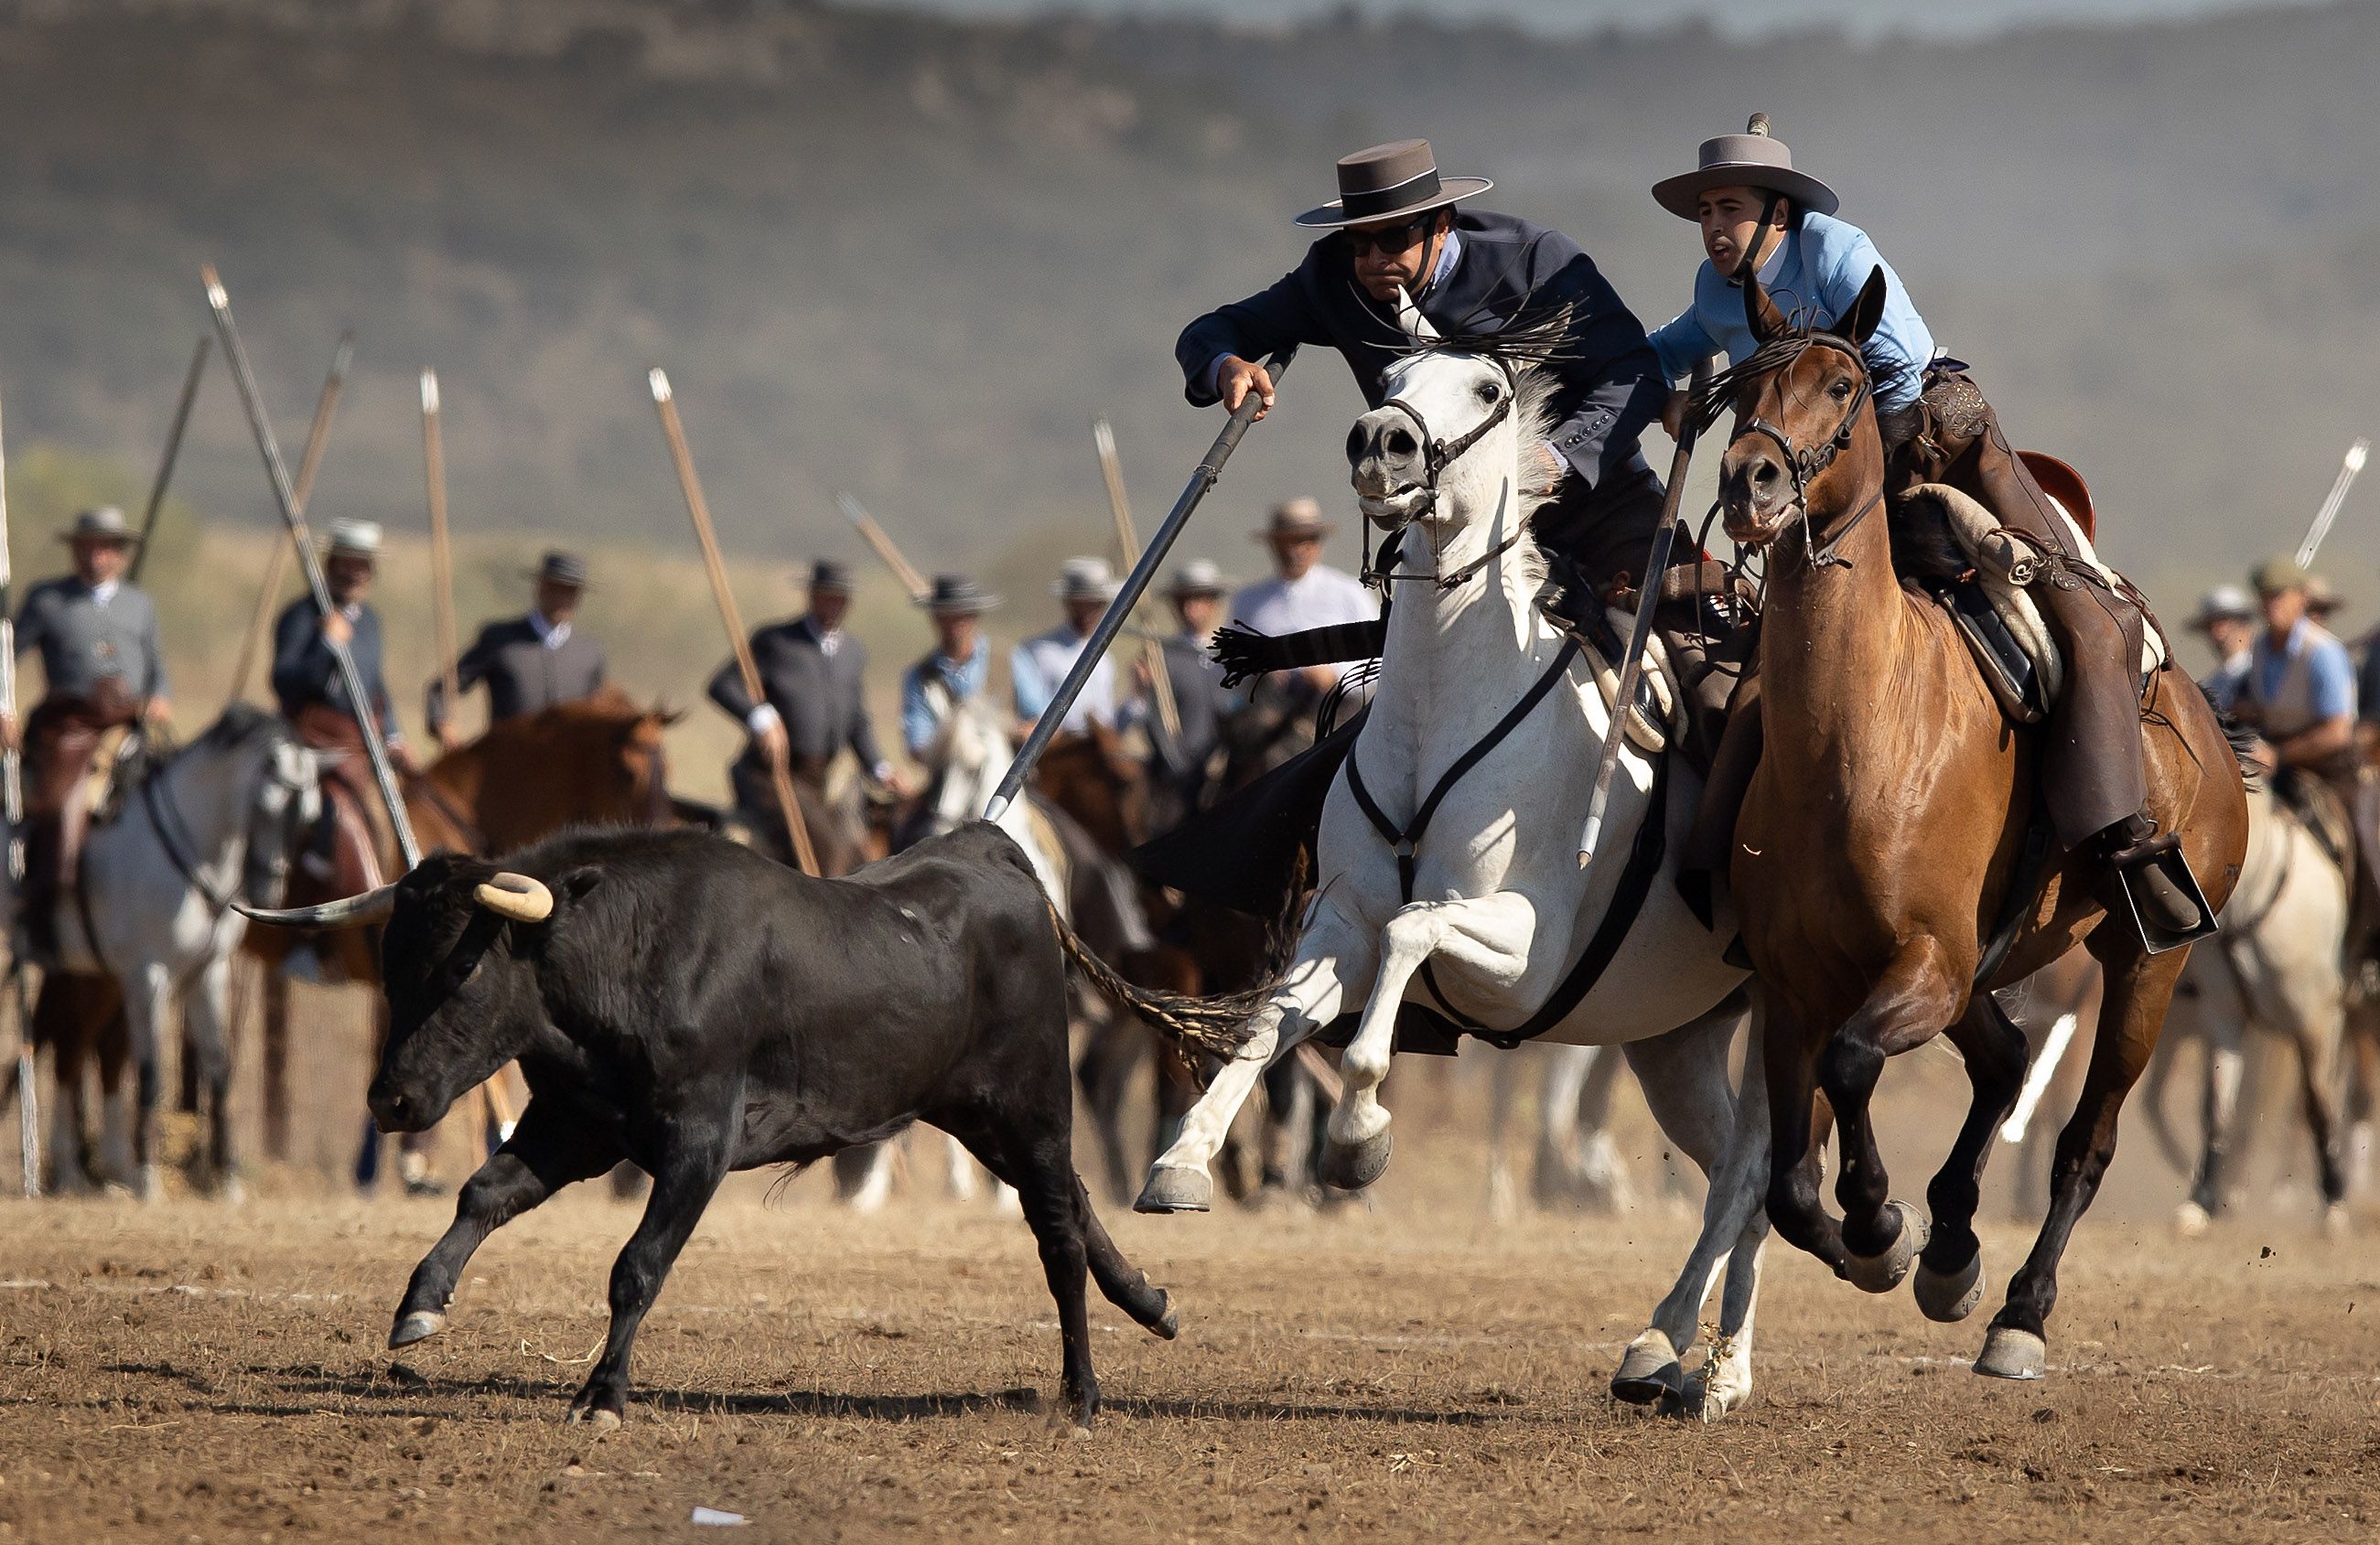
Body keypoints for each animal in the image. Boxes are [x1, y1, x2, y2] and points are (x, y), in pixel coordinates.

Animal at [302, 823, 1265, 1428]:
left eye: (460, 970)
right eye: (391, 962)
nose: (389, 1101)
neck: (634, 955)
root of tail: (998, 853)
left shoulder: (697, 1143)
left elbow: (636, 1266)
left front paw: (602, 1395)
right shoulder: (575, 1125)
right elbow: (484, 1193)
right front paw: (419, 1304)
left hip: (1031, 1104)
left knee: (1057, 1233)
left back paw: (1082, 1397)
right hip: (974, 1114)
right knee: (1073, 1201)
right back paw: (1149, 1302)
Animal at [1713, 265, 2246, 1371]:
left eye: (1841, 385)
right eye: (1741, 382)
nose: (1750, 483)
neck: (1861, 736)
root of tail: (2211, 737)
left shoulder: (1927, 962)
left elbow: (1854, 1066)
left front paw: (1880, 1223)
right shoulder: (1792, 987)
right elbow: (1788, 1186)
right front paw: (1888, 1239)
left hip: (2145, 967)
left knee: (2085, 1140)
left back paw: (2018, 1314)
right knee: (2003, 1062)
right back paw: (1954, 1249)